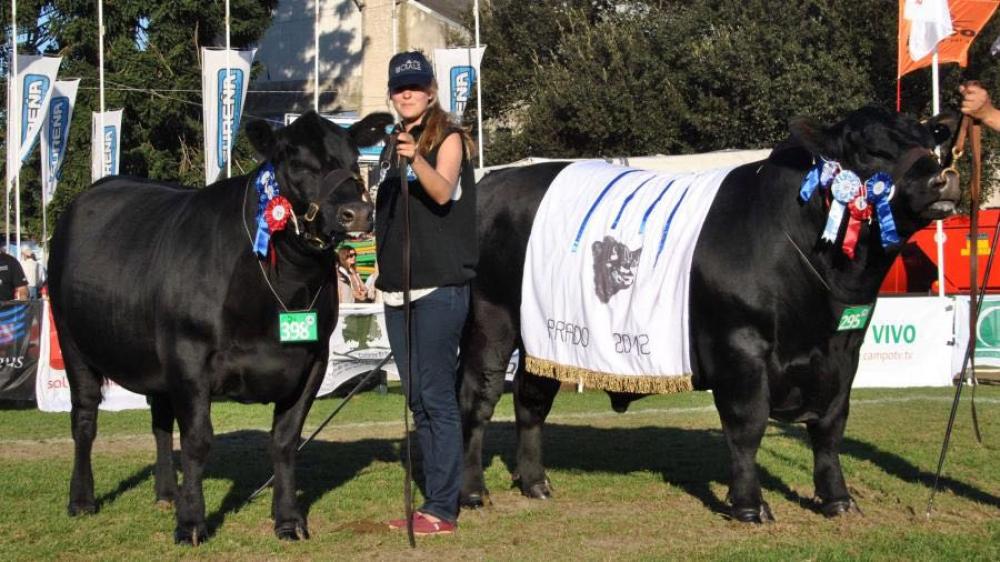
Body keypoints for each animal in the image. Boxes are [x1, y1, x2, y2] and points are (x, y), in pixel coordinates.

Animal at [48, 110, 390, 544]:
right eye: (296, 162)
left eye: (353, 159)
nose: (358, 213)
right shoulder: (188, 356)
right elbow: (197, 440)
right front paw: (192, 523)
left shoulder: (313, 359)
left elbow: (285, 440)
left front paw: (288, 519)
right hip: (72, 340)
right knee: (85, 418)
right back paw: (82, 500)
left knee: (160, 421)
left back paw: (166, 494)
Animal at [458, 108, 964, 520]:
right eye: (869, 148)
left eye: (931, 140)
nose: (944, 176)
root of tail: (494, 182)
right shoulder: (740, 346)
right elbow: (747, 426)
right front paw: (749, 505)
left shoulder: (844, 352)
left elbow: (830, 427)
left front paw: (838, 499)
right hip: (491, 318)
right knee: (478, 399)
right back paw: (473, 492)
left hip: (545, 334)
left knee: (531, 399)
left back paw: (535, 483)